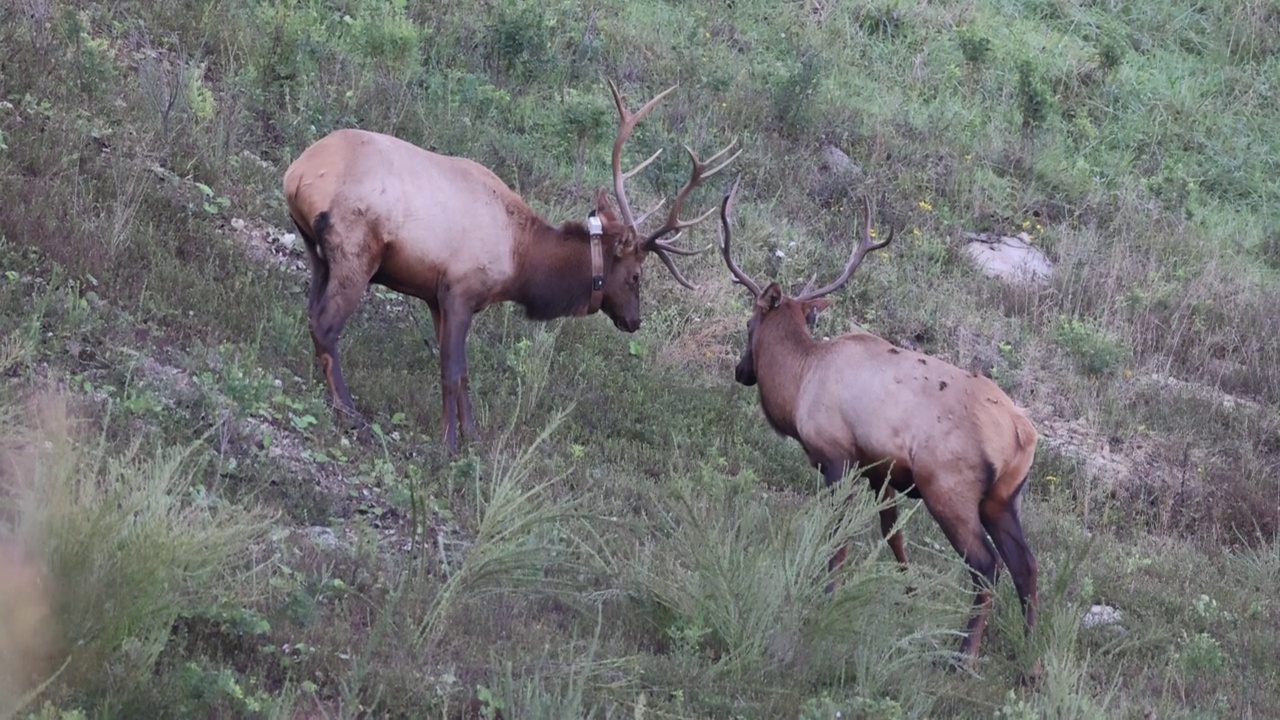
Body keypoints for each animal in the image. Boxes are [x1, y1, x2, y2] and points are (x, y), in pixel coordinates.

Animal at [284, 81, 737, 450]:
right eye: (637, 275)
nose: (634, 321)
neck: (522, 262)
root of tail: (296, 174)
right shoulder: (459, 291)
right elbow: (451, 370)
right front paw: (449, 444)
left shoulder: (435, 298)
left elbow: (463, 373)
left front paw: (473, 436)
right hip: (356, 250)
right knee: (326, 325)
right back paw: (348, 413)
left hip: (314, 251)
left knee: (310, 315)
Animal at [721, 178, 1039, 666]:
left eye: (748, 322)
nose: (741, 370)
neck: (800, 381)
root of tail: (1023, 434)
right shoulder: (880, 470)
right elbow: (894, 536)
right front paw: (907, 595)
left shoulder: (838, 456)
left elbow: (839, 537)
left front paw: (827, 594)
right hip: (1004, 498)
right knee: (1027, 568)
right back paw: (1030, 657)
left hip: (948, 487)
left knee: (986, 565)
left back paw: (963, 655)